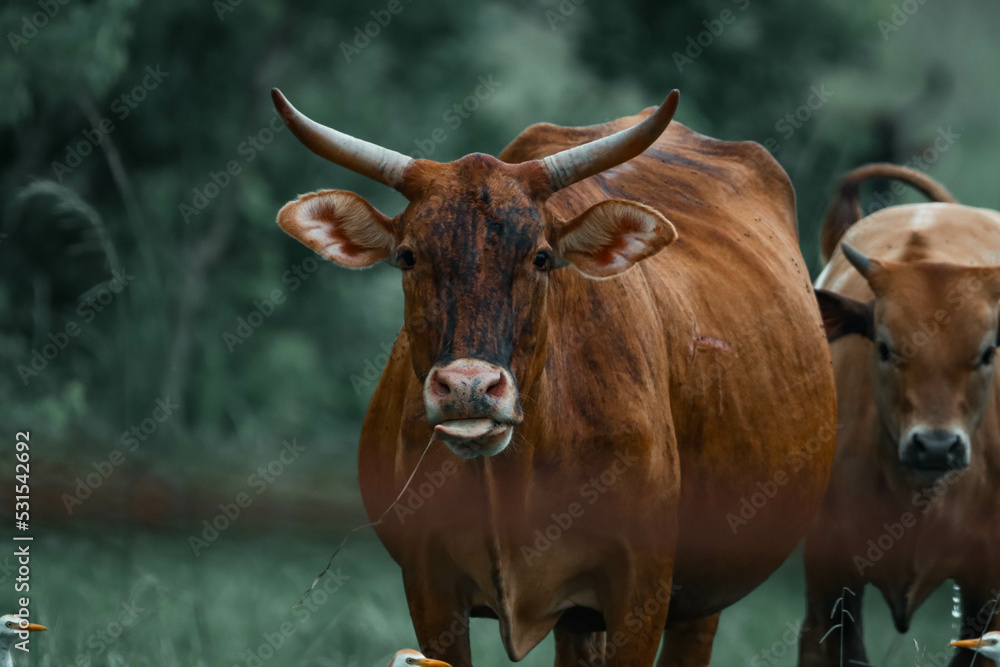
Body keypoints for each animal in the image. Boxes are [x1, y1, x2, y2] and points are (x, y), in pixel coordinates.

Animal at [274, 88, 836, 667]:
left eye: (541, 256)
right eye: (408, 256)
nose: (469, 388)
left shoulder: (642, 589)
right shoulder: (429, 585)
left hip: (704, 594)